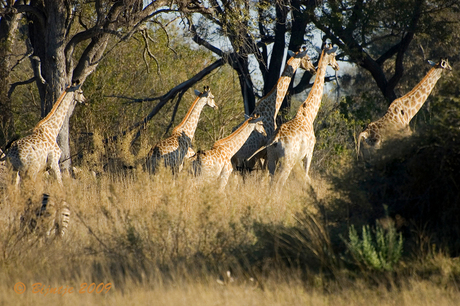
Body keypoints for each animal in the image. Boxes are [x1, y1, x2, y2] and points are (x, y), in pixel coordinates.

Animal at [250, 44, 340, 188]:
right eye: (334, 55)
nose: (337, 66)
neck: (309, 115)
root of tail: (276, 140)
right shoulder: (309, 152)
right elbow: (307, 177)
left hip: (271, 159)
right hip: (286, 161)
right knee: (278, 184)